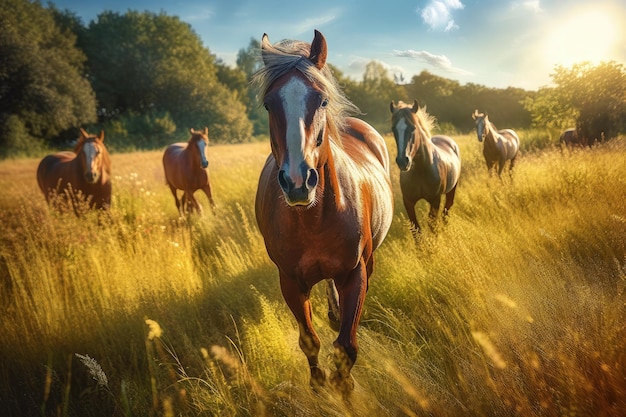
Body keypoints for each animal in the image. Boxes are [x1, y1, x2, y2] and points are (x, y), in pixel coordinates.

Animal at [252, 29, 390, 394]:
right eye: (269, 104)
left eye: (323, 100)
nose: (298, 182)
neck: (313, 219)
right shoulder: (290, 281)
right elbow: (309, 341)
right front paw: (318, 385)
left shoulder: (355, 273)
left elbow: (345, 348)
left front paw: (345, 391)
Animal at [388, 98, 460, 232]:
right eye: (394, 129)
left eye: (413, 128)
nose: (402, 161)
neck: (421, 171)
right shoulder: (408, 201)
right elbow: (416, 230)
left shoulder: (435, 200)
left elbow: (433, 226)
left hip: (451, 190)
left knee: (446, 211)